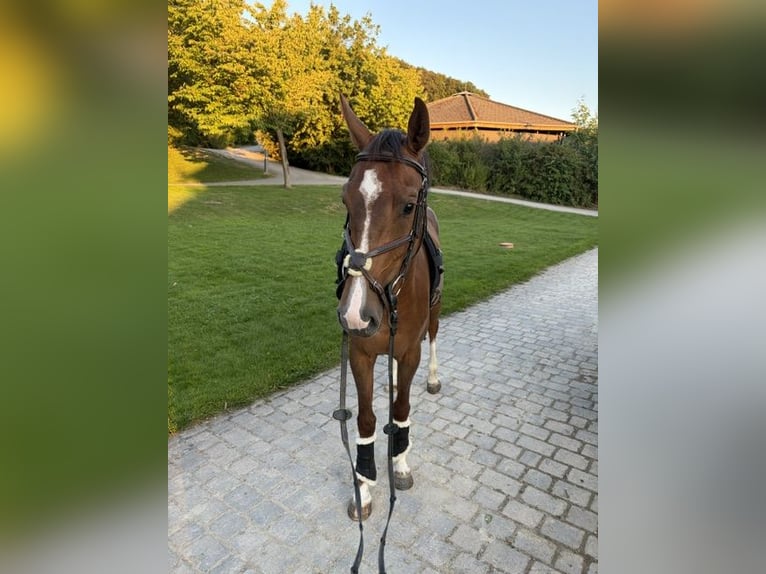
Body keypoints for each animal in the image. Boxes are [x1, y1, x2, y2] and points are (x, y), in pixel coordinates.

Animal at [334, 94, 444, 525]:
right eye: (346, 199)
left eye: (409, 205)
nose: (354, 312)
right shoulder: (360, 353)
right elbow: (366, 419)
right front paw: (364, 486)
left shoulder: (409, 350)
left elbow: (401, 408)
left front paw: (399, 463)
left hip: (434, 314)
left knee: (433, 340)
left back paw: (432, 377)